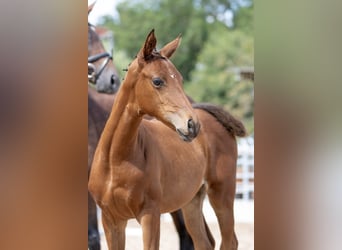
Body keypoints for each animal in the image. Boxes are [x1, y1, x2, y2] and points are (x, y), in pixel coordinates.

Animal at [87, 29, 244, 250]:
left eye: (180, 79)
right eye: (157, 81)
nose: (192, 125)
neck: (115, 159)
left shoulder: (150, 215)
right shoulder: (111, 220)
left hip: (222, 193)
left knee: (229, 240)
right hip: (192, 201)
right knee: (204, 241)